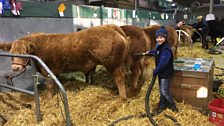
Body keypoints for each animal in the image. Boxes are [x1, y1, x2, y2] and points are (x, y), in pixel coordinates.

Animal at [0, 24, 130, 99]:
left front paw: (48, 99)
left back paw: (122, 97)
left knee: (119, 78)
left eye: (24, 53)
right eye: (12, 53)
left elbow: (49, 86)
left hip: (113, 64)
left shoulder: (49, 71)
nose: (15, 68)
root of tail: (111, 27)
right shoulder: (55, 72)